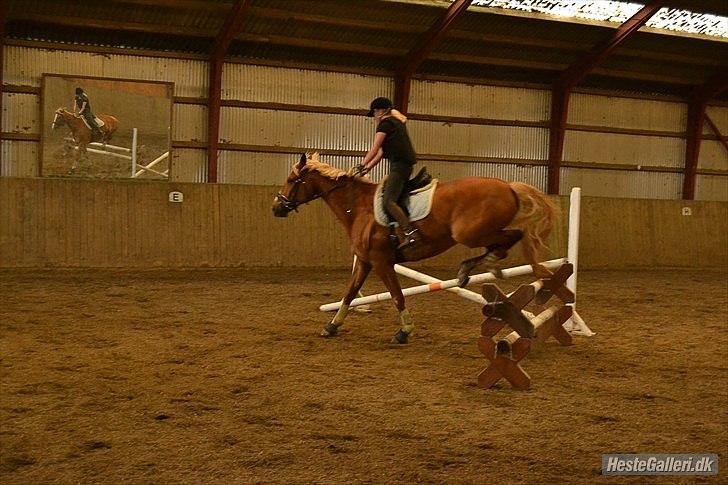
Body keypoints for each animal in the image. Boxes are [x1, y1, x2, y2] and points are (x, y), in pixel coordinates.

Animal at [274, 152, 556, 344]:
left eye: (291, 179)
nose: (276, 207)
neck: (358, 207)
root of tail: (508, 186)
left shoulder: (381, 262)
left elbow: (397, 295)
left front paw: (404, 332)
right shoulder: (364, 261)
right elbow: (350, 293)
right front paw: (332, 325)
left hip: (469, 233)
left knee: (513, 236)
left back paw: (482, 265)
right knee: (506, 240)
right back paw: (473, 268)